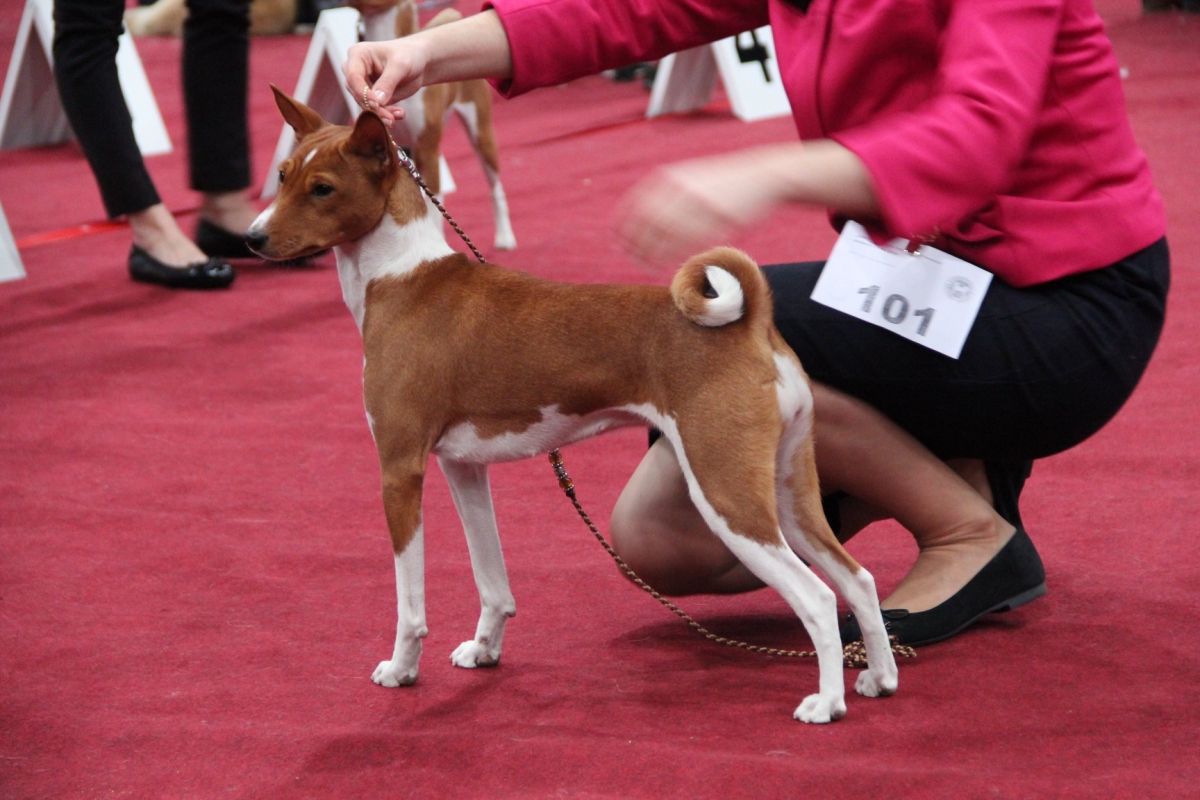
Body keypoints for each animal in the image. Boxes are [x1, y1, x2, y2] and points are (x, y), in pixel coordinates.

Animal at [246, 89, 902, 724]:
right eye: (280, 175)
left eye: (322, 188)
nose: (252, 238)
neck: (402, 277)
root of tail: (754, 324)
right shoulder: (463, 467)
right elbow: (492, 580)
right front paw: (484, 650)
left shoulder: (399, 469)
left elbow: (410, 602)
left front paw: (401, 668)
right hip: (790, 488)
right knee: (856, 578)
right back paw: (878, 677)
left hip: (726, 493)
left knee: (817, 597)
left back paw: (826, 703)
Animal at [348, 0, 516, 250]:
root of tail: (454, 19)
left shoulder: (427, 150)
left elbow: (433, 207)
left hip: (480, 131)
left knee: (495, 187)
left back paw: (505, 236)